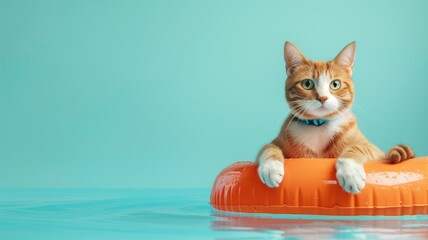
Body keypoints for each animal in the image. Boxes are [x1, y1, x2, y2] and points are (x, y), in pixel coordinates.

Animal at [258, 41, 414, 195]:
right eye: (307, 84)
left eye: (335, 84)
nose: (322, 98)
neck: (318, 126)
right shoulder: (278, 141)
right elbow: (268, 147)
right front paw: (271, 167)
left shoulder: (375, 151)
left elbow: (358, 147)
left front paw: (350, 172)